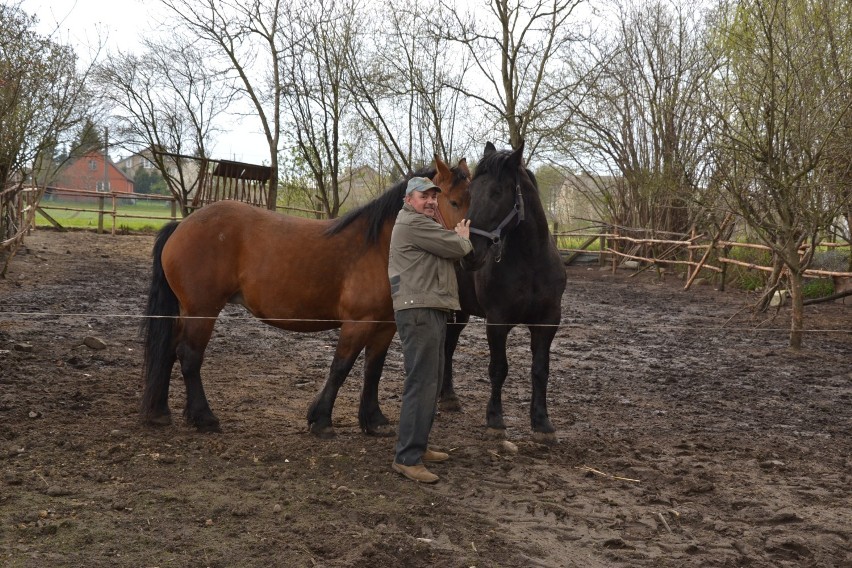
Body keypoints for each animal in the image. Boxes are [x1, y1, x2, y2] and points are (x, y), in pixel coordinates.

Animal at [141, 158, 472, 438]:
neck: (381, 247)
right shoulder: (358, 323)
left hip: (187, 311)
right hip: (203, 310)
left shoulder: (385, 327)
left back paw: (160, 413)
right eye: (453, 201)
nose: (469, 251)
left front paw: (374, 421)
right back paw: (204, 417)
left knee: (168, 351)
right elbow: (340, 367)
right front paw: (321, 419)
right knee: (189, 356)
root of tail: (181, 226)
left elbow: (373, 370)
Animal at [440, 142, 564, 444]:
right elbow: (498, 368)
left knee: (448, 346)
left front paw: (542, 422)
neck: (531, 261)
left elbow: (540, 370)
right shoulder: (497, 321)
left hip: (460, 313)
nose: (469, 253)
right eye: (471, 193)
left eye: (497, 192)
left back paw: (448, 397)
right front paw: (495, 419)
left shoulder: (548, 322)